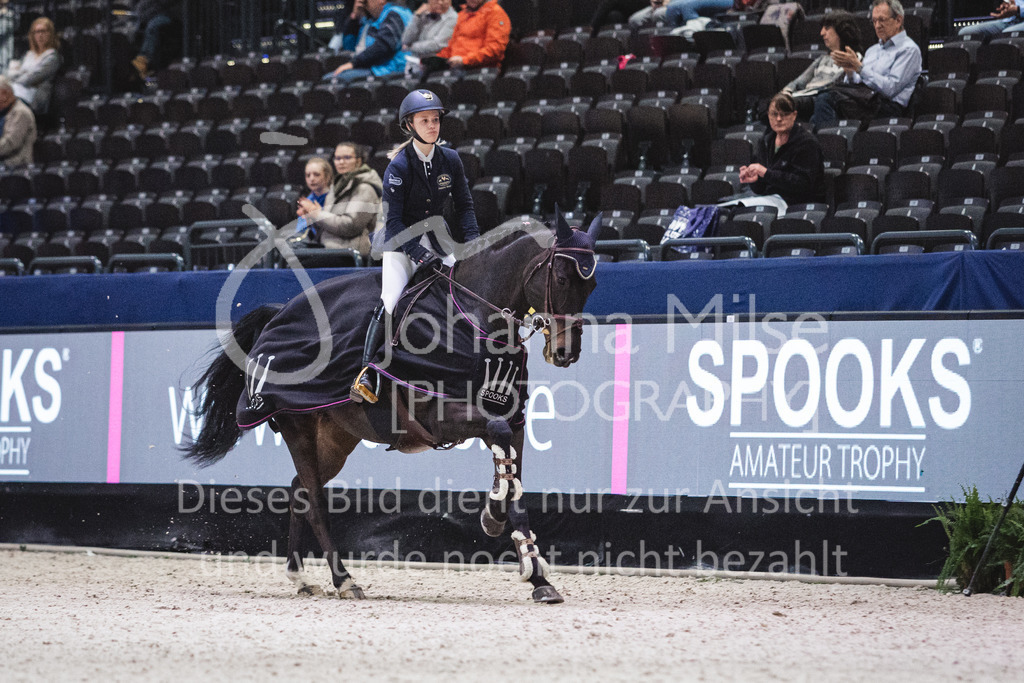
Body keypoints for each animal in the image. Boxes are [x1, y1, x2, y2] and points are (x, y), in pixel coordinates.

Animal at [182, 211, 601, 603]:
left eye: (592, 284)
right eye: (562, 279)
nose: (565, 352)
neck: (472, 317)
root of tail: (277, 317)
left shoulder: (513, 420)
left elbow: (514, 482)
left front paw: (536, 574)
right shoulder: (444, 418)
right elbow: (502, 460)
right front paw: (497, 524)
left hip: (335, 437)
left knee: (300, 488)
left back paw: (301, 578)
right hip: (296, 426)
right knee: (313, 500)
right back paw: (344, 581)